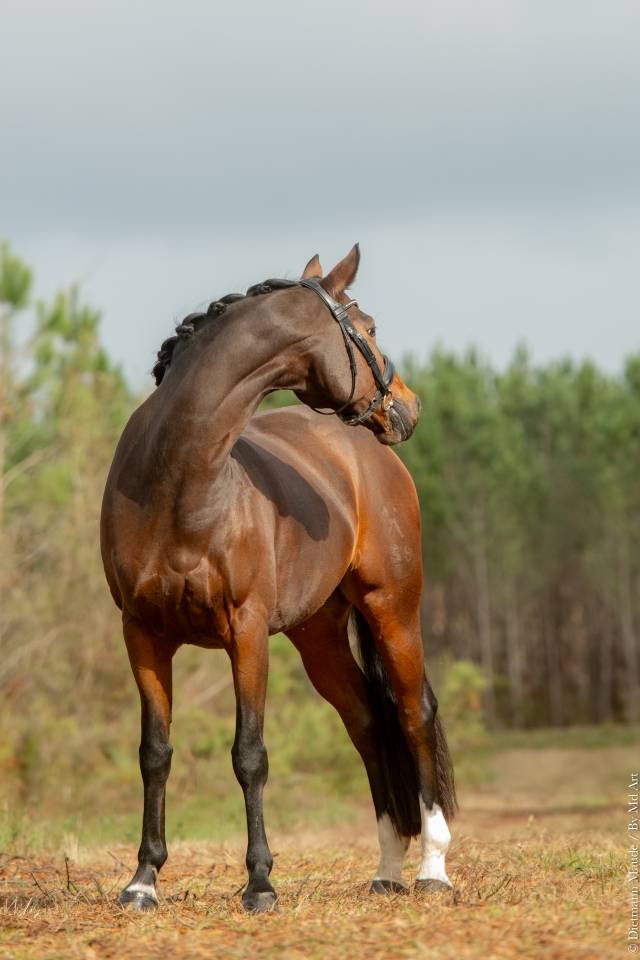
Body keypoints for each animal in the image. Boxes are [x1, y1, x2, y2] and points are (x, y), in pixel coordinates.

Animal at [100, 244, 456, 913]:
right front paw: (142, 881)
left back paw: (432, 868)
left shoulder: (246, 633)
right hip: (318, 637)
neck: (180, 478)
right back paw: (388, 868)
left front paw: (260, 883)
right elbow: (155, 754)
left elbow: (250, 754)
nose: (409, 406)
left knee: (413, 712)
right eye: (369, 329)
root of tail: (371, 456)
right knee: (367, 722)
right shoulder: (142, 635)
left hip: (393, 608)